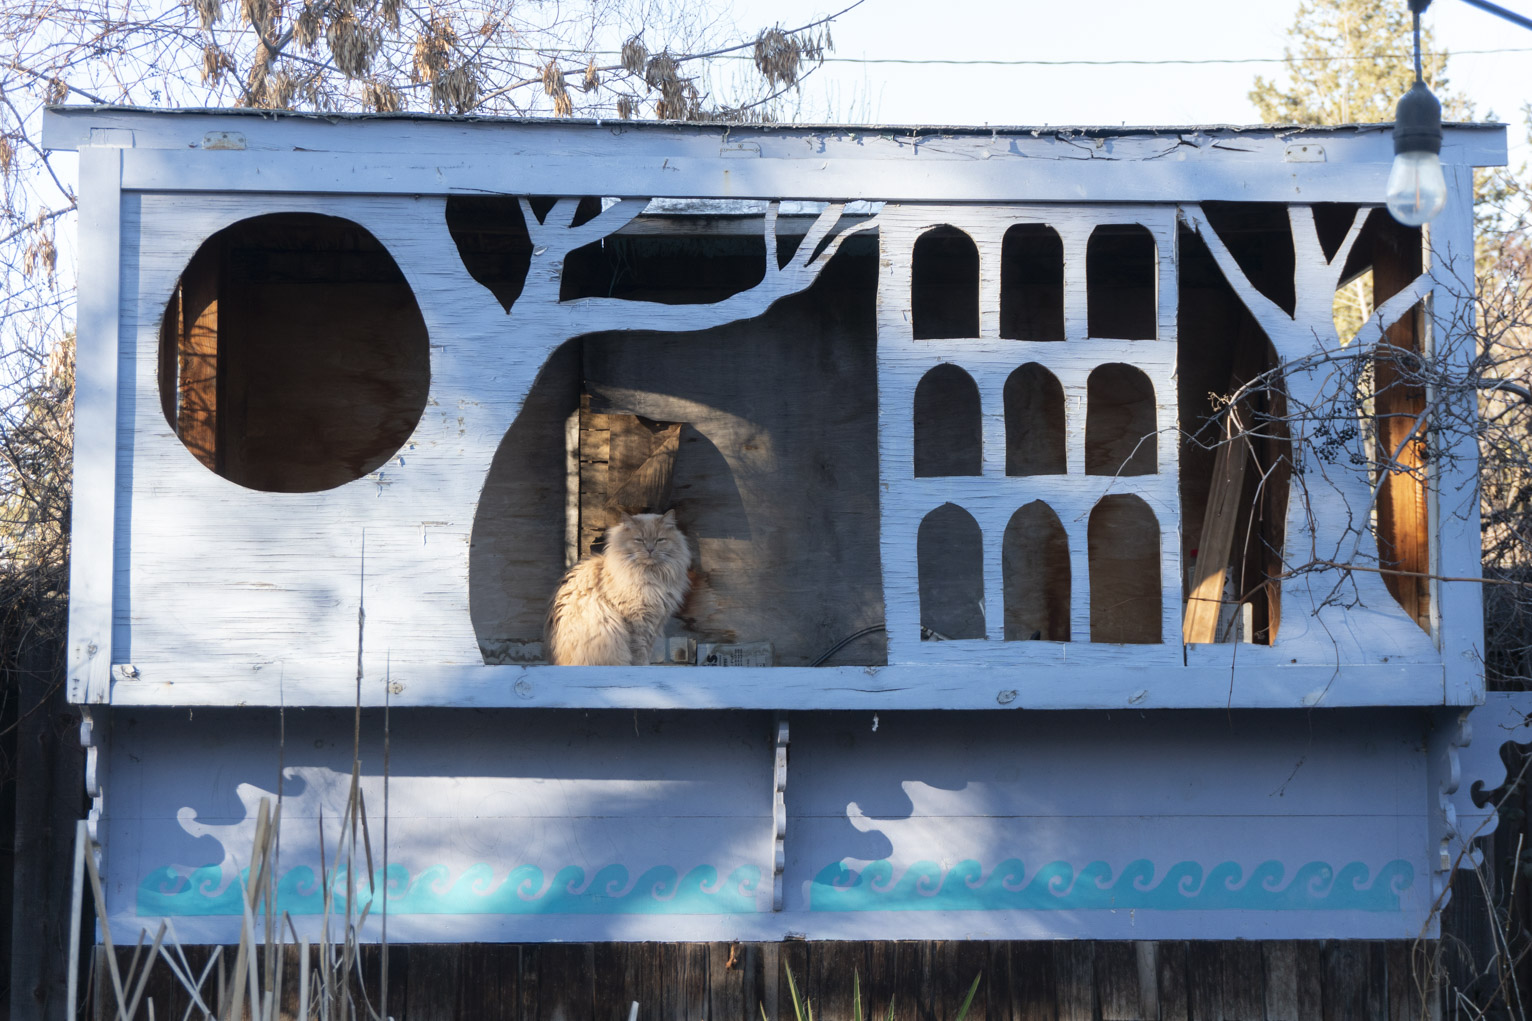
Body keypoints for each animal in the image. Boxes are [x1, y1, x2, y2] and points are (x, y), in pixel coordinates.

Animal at [542, 508, 692, 668]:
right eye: (639, 540)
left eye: (660, 540)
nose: (650, 549)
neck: (651, 576)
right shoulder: (636, 620)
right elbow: (639, 652)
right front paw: (643, 667)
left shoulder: (656, 622)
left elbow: (647, 649)